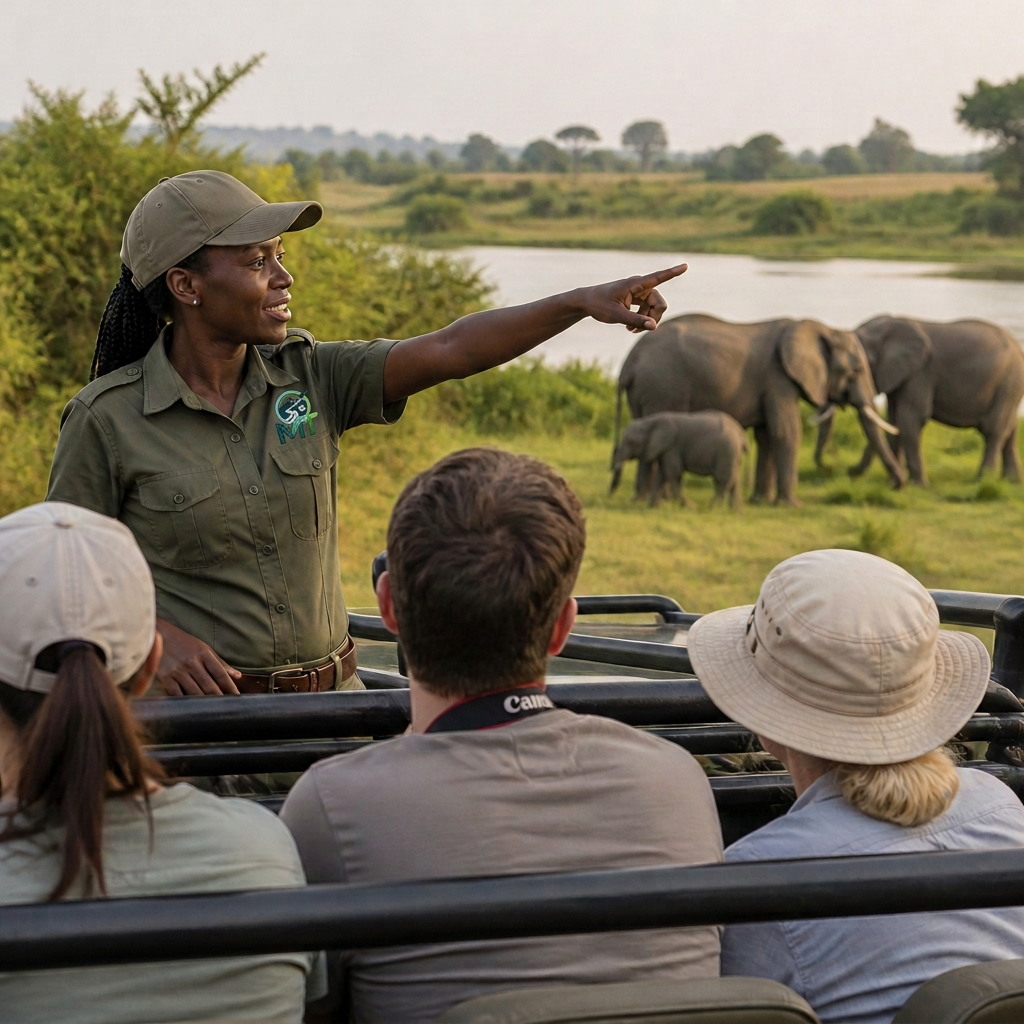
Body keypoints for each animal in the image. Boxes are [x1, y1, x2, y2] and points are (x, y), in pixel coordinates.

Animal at [611, 411, 748, 508]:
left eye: (630, 442)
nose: (609, 495)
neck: (651, 421)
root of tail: (740, 433)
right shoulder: (666, 449)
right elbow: (662, 474)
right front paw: (651, 507)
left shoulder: (672, 447)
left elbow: (673, 474)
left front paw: (690, 507)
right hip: (733, 454)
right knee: (734, 480)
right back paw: (736, 513)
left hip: (726, 451)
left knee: (723, 480)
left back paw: (711, 508)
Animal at [818, 317, 1024, 486]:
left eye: (857, 369)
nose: (848, 470)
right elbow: (894, 420)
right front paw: (891, 483)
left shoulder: (921, 372)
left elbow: (910, 418)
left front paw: (917, 485)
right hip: (1010, 386)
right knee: (1010, 430)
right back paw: (1011, 482)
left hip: (1009, 382)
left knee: (994, 430)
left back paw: (981, 481)